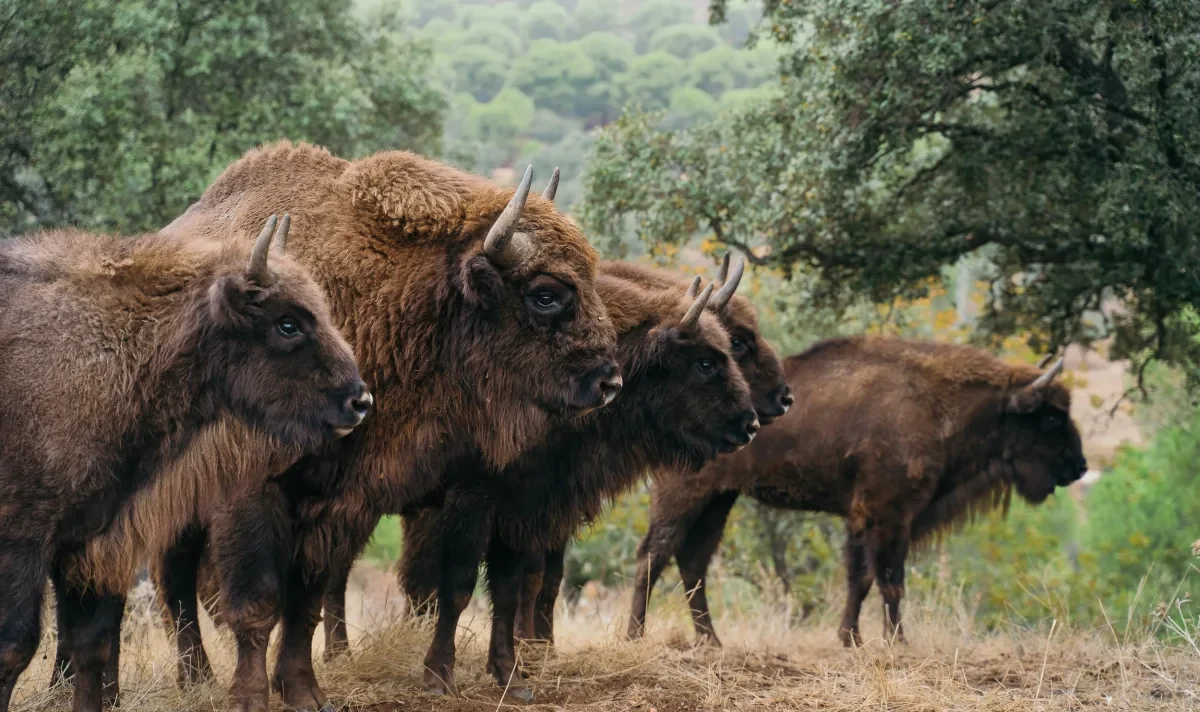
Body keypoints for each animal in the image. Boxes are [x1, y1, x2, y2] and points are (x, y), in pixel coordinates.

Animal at [0, 216, 368, 712]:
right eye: (287, 324)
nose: (360, 401)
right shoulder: (22, 541)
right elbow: (15, 648)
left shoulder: (91, 542)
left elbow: (90, 648)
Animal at [627, 336, 1088, 647]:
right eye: (1050, 418)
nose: (1079, 465)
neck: (937, 404)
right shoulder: (889, 514)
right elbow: (890, 580)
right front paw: (897, 641)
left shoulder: (865, 518)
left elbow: (861, 578)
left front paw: (851, 639)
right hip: (684, 495)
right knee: (654, 556)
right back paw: (636, 634)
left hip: (718, 500)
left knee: (692, 563)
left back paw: (712, 641)